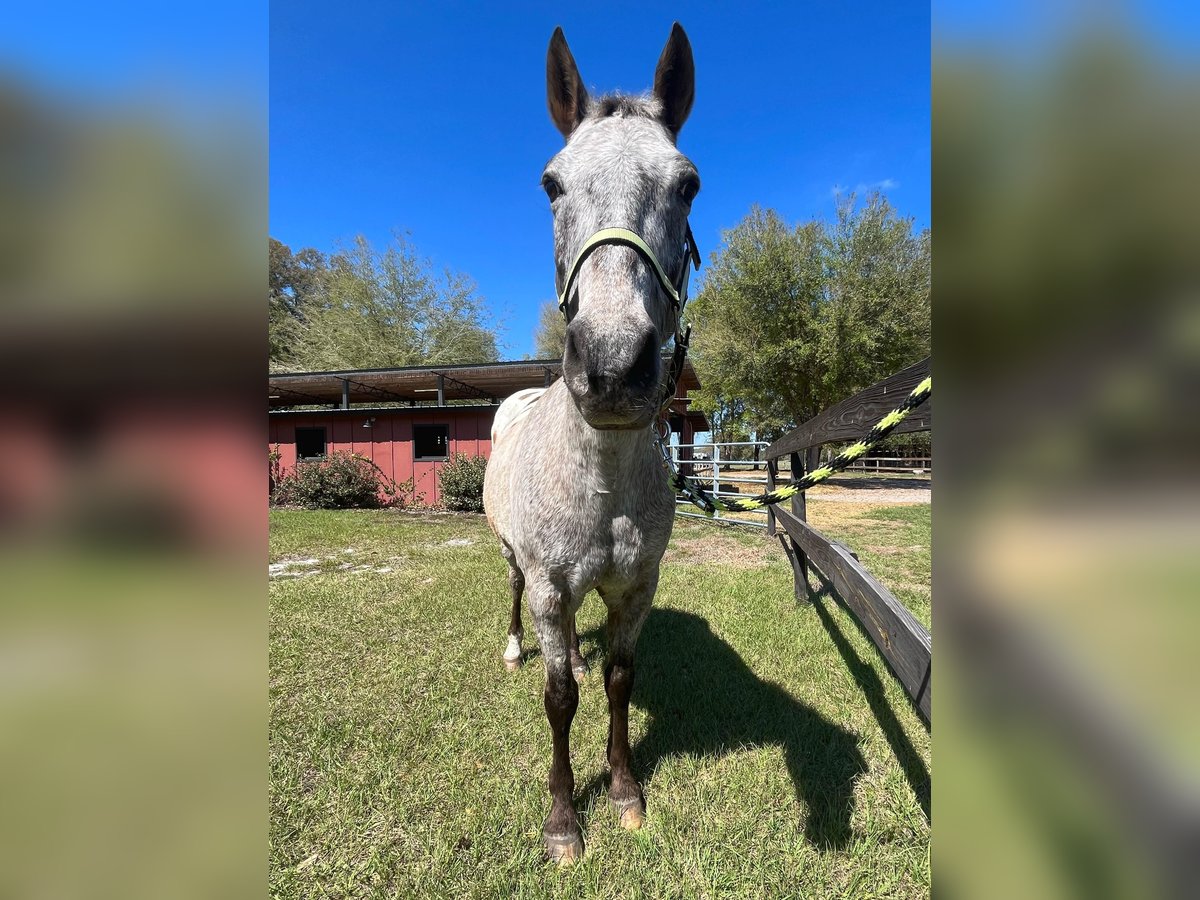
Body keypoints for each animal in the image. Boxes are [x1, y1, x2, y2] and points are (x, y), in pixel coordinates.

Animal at [482, 24, 700, 864]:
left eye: (687, 184)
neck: (601, 483)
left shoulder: (636, 588)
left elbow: (615, 680)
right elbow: (560, 696)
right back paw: (517, 647)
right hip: (517, 563)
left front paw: (626, 793)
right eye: (551, 183)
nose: (611, 366)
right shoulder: (550, 585)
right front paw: (564, 820)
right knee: (518, 602)